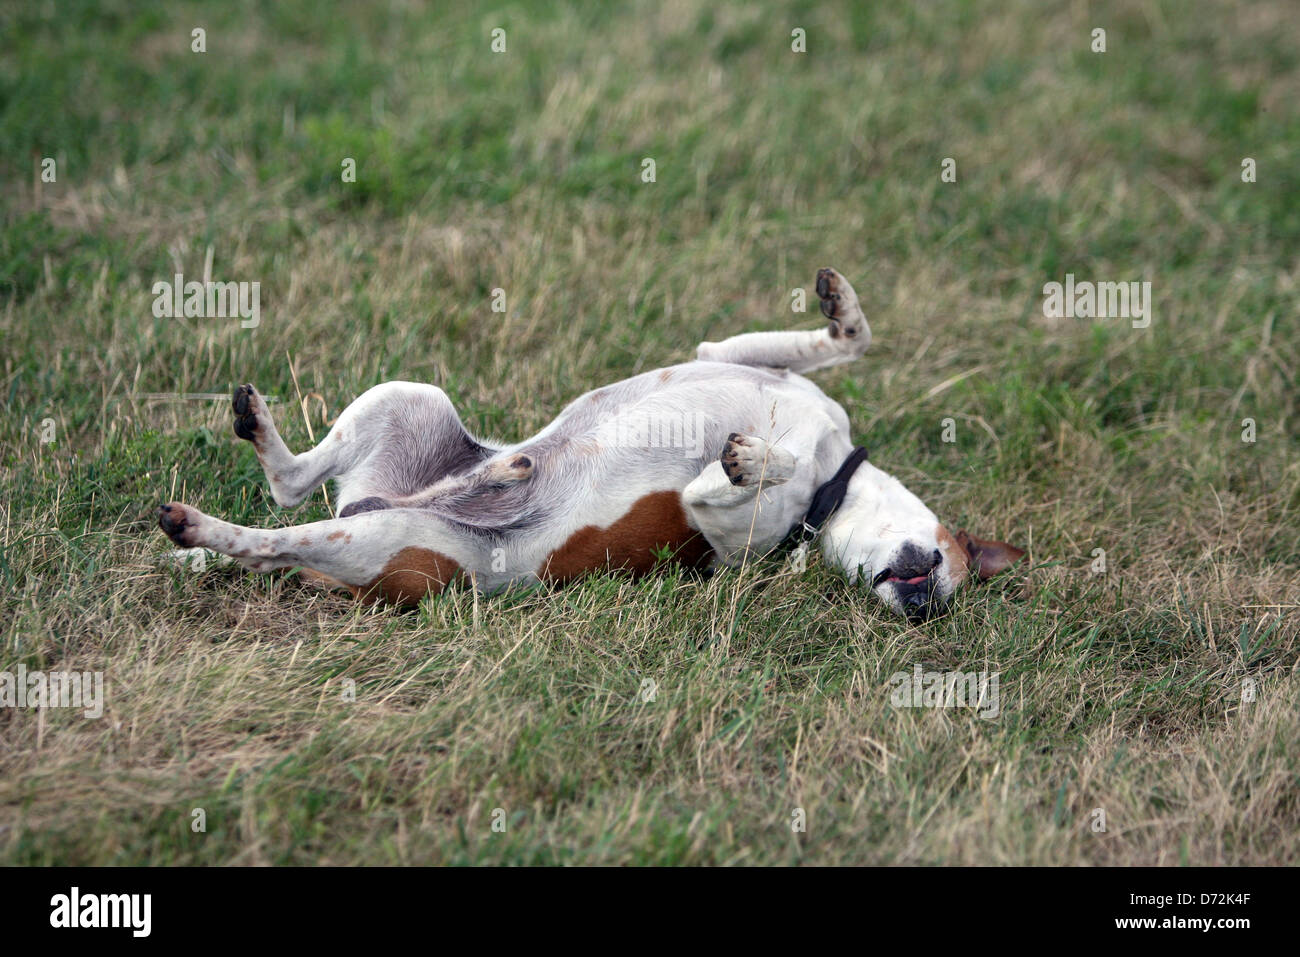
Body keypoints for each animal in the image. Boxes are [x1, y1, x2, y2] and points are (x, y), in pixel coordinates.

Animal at [157, 265, 1019, 621]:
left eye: (945, 595)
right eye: (947, 560)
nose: (920, 605)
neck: (834, 477)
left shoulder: (712, 523)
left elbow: (737, 475)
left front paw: (753, 458)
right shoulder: (732, 356)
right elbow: (847, 341)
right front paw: (839, 306)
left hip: (386, 538)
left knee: (275, 531)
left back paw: (198, 525)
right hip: (409, 400)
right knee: (290, 484)